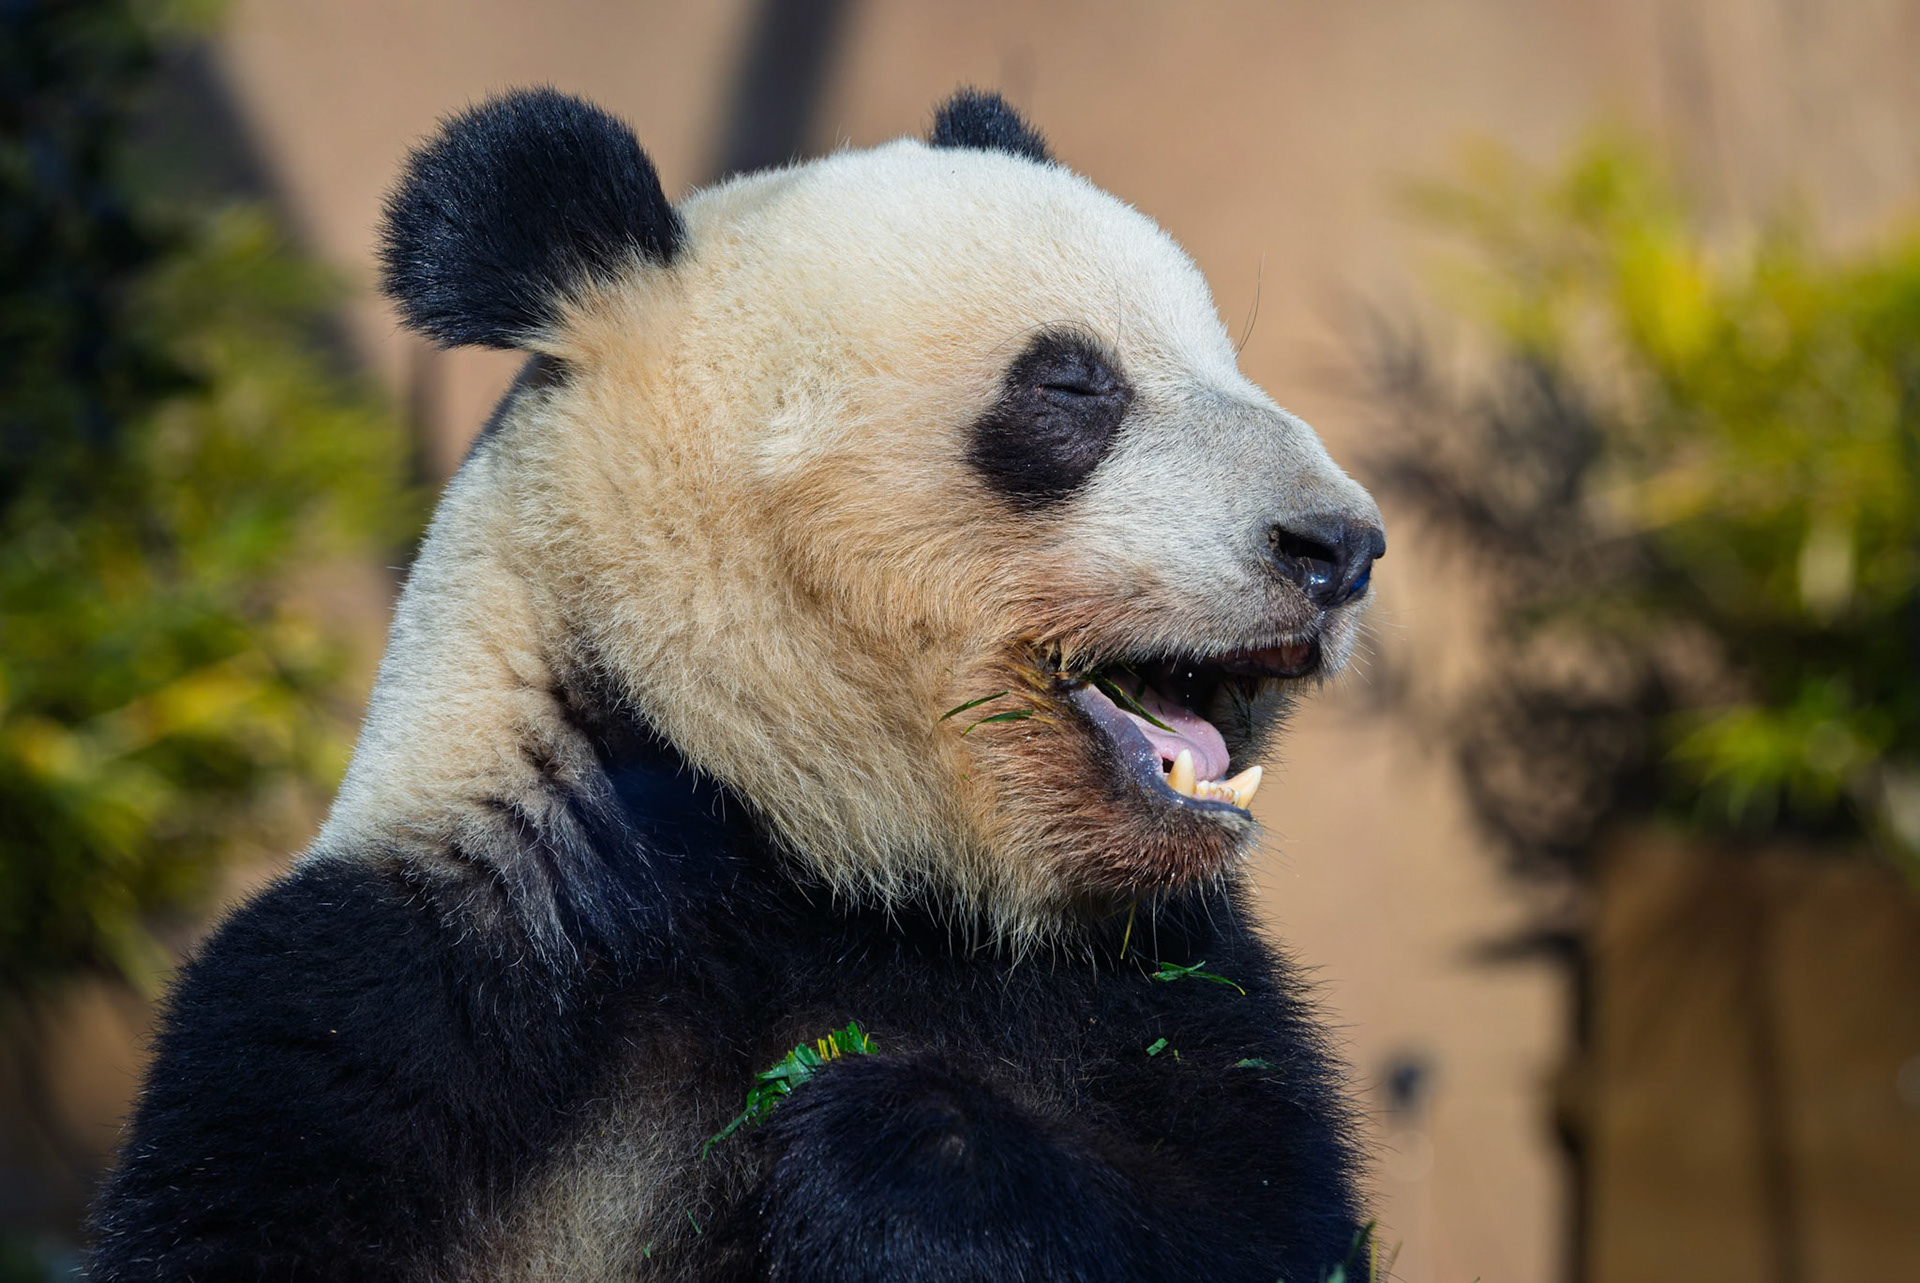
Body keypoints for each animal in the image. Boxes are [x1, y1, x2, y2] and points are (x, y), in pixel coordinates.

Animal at [89, 87, 1387, 1282]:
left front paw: (884, 1150)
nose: (1340, 546)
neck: (799, 849)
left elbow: (1260, 1219)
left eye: (1226, 365)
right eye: (1072, 386)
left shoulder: (1163, 983)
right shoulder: (396, 994)